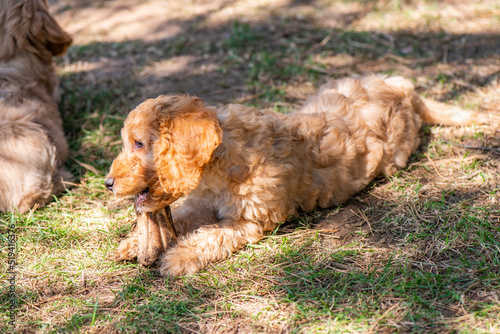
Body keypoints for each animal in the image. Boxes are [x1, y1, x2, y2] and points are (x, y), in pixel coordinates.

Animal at [106, 75, 488, 276]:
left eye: (139, 143)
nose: (107, 184)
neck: (223, 157)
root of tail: (405, 89)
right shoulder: (202, 201)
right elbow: (186, 215)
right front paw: (131, 243)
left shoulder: (249, 220)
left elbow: (211, 236)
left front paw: (177, 258)